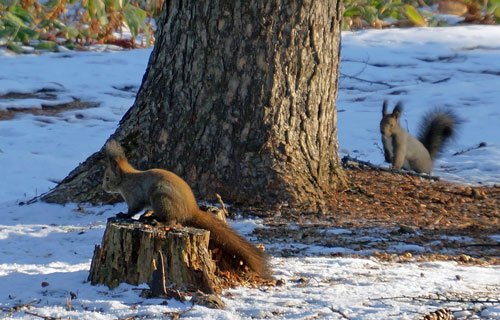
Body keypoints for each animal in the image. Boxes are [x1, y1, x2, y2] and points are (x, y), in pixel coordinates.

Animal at [101, 139, 272, 278]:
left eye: (107, 178)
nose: (105, 189)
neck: (126, 179)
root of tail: (191, 210)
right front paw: (142, 215)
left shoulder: (135, 196)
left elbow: (133, 209)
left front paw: (124, 215)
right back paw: (151, 217)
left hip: (161, 198)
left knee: (172, 221)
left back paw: (158, 222)